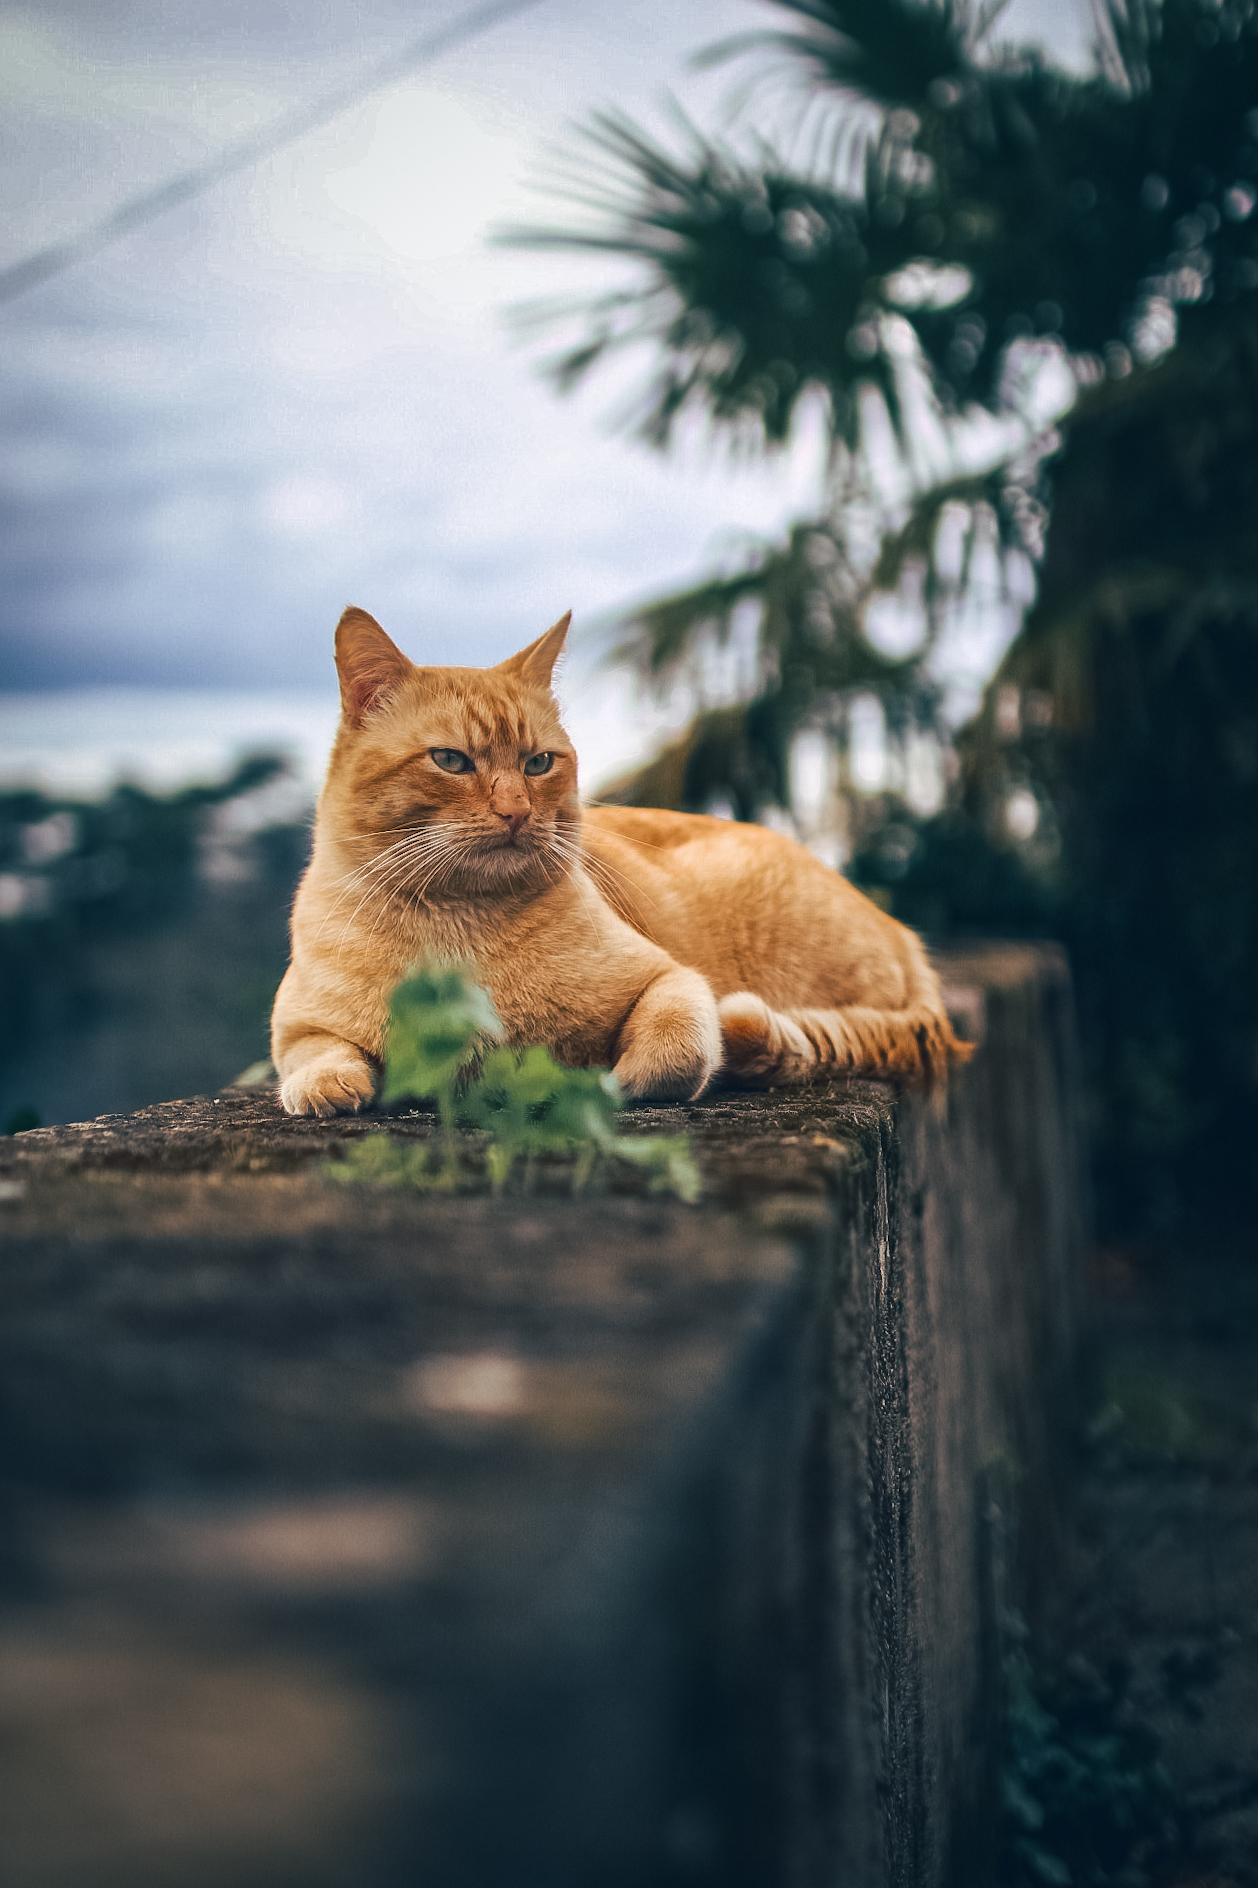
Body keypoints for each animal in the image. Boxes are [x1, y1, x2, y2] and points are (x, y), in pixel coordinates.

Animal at [270, 604, 963, 1110]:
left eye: (538, 763)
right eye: (450, 760)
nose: (517, 811)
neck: (460, 927)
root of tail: (900, 932)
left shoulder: (672, 981)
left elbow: (675, 1052)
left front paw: (605, 1083)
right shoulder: (297, 1027)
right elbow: (319, 1057)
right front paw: (330, 1088)